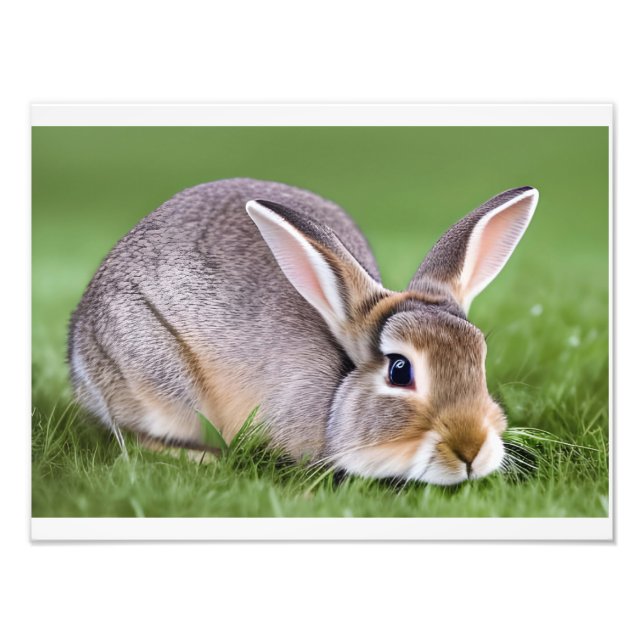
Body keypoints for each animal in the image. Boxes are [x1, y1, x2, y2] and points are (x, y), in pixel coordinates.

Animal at [68, 178, 538, 485]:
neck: (337, 400)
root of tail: (78, 348)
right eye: (400, 370)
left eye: (479, 360)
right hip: (158, 386)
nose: (471, 449)